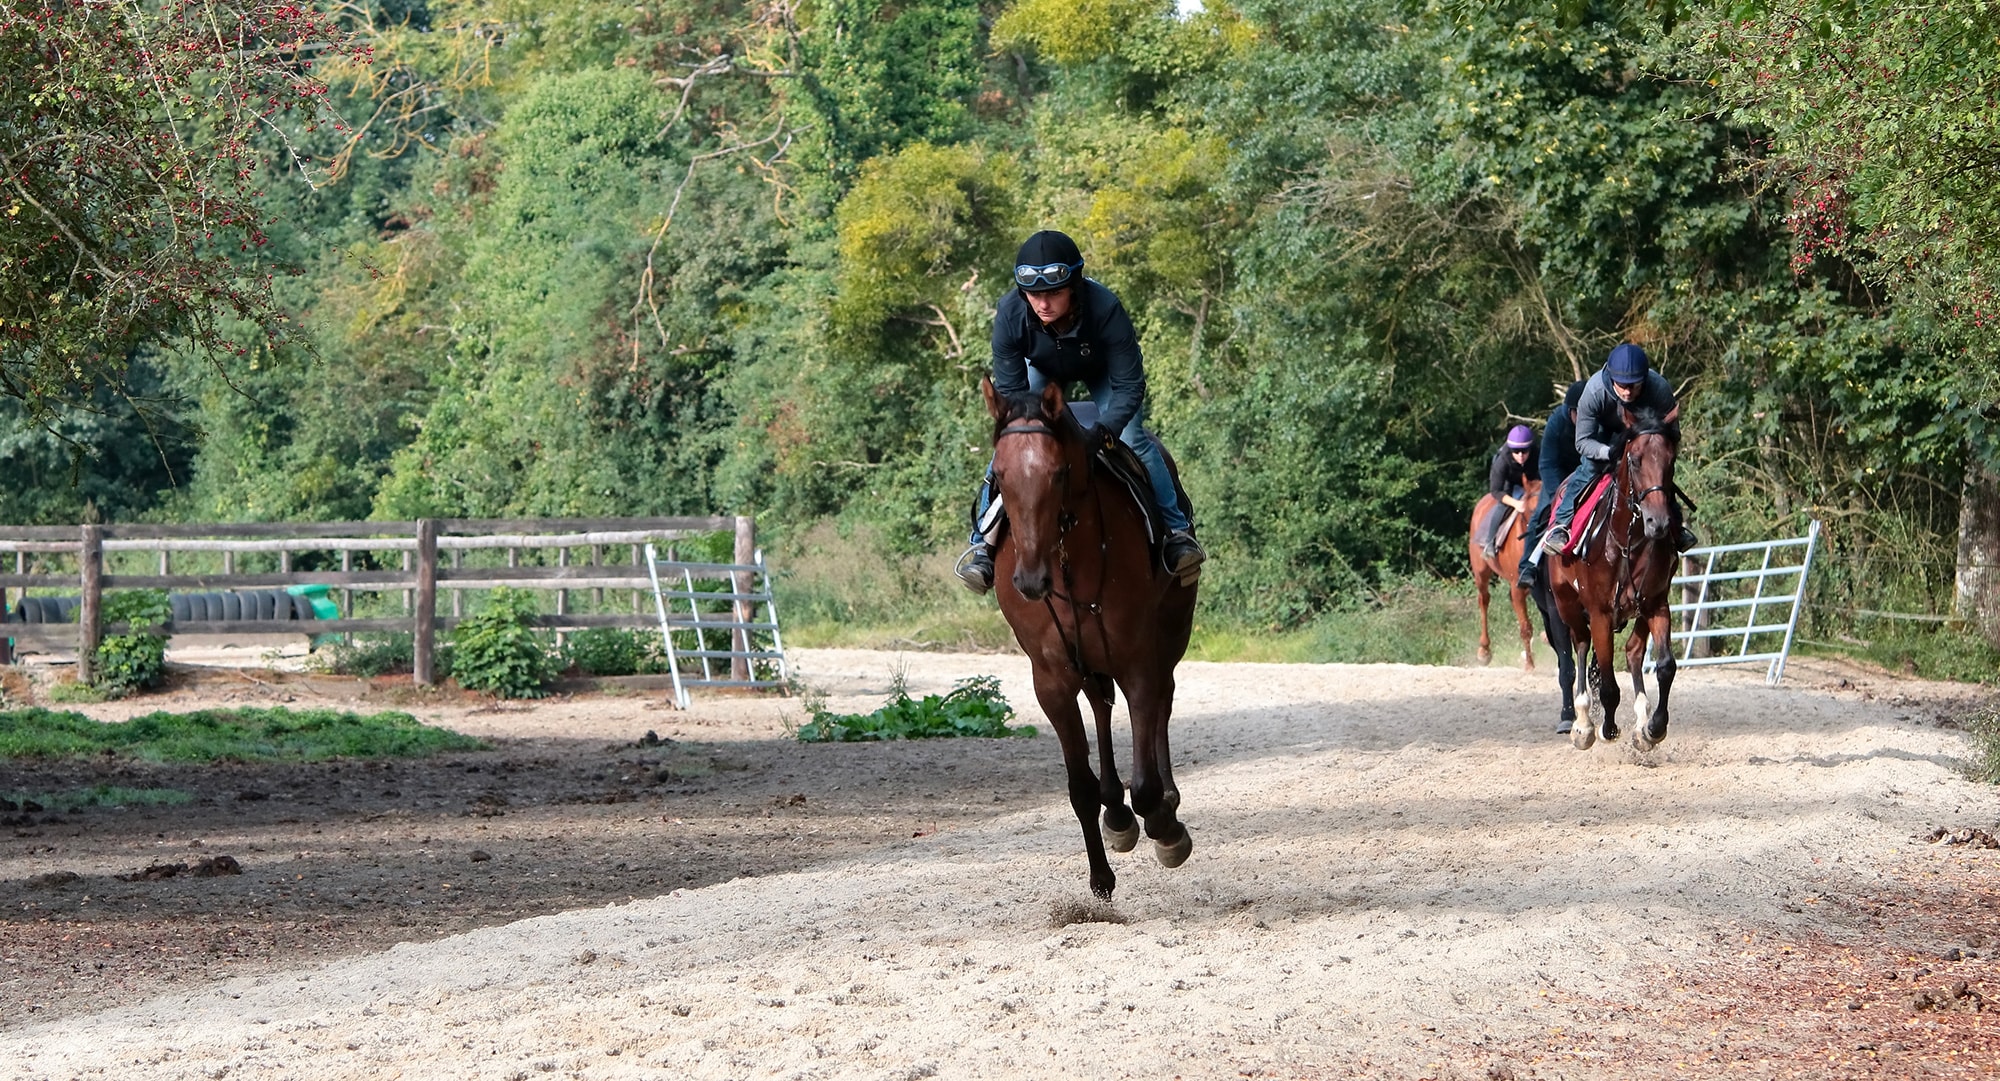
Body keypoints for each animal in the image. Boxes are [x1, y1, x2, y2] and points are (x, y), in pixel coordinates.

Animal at [980, 376, 1192, 900]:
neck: (1068, 562)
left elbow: (1146, 783)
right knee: (1101, 706)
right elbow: (1079, 787)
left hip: (1170, 633)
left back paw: (1165, 807)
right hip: (1090, 660)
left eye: (1058, 473)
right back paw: (1116, 812)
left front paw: (1164, 826)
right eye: (1000, 475)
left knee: (1163, 701)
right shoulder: (1051, 679)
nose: (1029, 579)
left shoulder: (1137, 658)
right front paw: (1100, 879)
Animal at [1472, 478, 1544, 668]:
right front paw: (1530, 665)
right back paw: (1484, 651)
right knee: (1484, 600)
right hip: (1481, 573)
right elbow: (1526, 628)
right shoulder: (1517, 586)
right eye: (1530, 510)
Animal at [1544, 408, 1688, 752]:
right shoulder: (1600, 613)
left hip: (1638, 610)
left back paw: (1641, 721)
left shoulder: (1656, 604)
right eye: (1634, 459)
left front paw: (1654, 728)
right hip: (1566, 603)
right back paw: (1583, 723)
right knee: (1581, 645)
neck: (1626, 540)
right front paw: (1605, 728)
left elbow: (1665, 666)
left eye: (1671, 460)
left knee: (1634, 650)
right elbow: (1608, 684)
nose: (1658, 522)